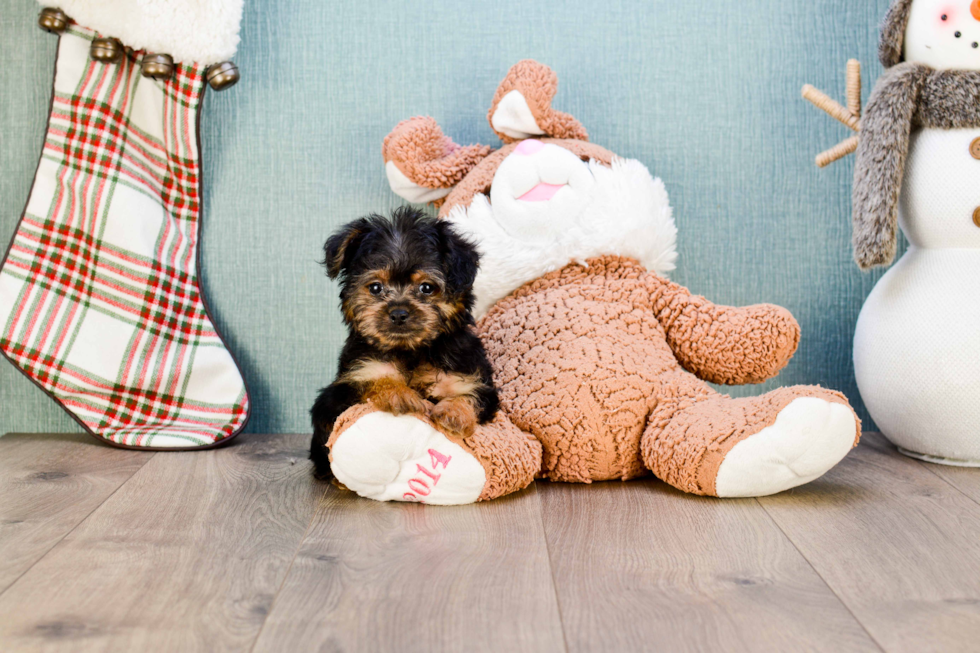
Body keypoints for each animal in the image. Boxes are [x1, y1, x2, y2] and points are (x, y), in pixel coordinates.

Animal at [310, 208, 502, 478]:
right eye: (375, 287)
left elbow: (469, 396)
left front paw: (455, 412)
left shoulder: (472, 378)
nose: (399, 313)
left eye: (426, 287)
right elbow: (376, 377)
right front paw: (399, 394)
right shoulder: (349, 382)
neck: (412, 351)